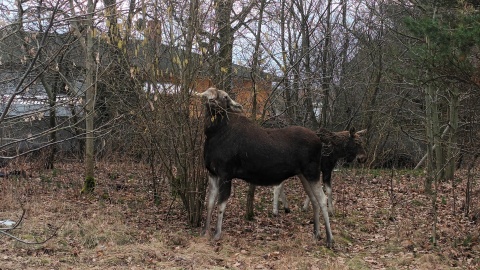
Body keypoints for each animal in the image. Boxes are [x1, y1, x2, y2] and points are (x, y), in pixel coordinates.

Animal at [195, 87, 334, 248]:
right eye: (207, 94)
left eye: (225, 97)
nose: (212, 101)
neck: (213, 134)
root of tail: (320, 142)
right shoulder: (212, 173)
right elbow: (210, 203)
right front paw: (205, 231)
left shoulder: (226, 173)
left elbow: (221, 204)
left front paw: (217, 234)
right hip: (303, 174)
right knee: (314, 200)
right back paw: (316, 233)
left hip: (312, 171)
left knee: (322, 199)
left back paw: (329, 239)